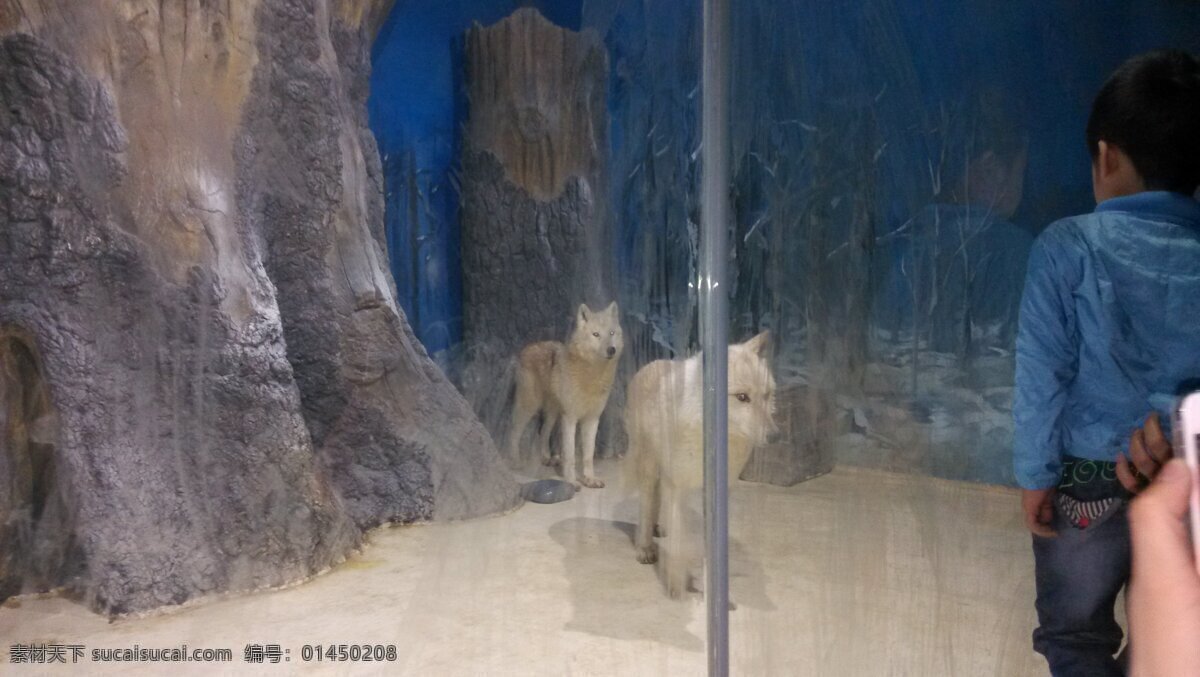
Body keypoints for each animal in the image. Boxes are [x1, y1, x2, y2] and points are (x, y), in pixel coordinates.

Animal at [506, 303, 624, 489]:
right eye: (596, 334)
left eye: (611, 333)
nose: (611, 349)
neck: (592, 375)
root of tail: (527, 347)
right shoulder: (570, 417)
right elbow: (569, 455)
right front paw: (571, 481)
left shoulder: (592, 419)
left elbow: (588, 455)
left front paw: (589, 479)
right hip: (529, 407)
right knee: (514, 432)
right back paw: (515, 462)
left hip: (553, 413)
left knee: (543, 432)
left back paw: (546, 458)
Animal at [628, 333, 777, 597]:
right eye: (742, 397)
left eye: (766, 395)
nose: (775, 436)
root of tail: (652, 363)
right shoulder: (677, 485)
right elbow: (679, 544)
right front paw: (677, 586)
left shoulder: (714, 492)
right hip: (649, 468)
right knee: (646, 506)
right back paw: (645, 547)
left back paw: (658, 528)